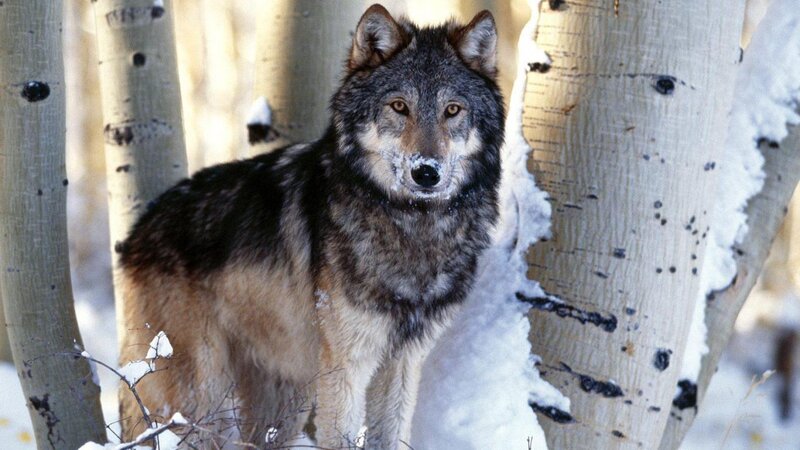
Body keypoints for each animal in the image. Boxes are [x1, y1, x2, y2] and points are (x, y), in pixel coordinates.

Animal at [117, 4, 504, 448]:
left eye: (452, 110)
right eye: (399, 106)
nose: (427, 172)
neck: (413, 226)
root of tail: (134, 235)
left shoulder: (403, 364)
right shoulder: (345, 367)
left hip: (285, 398)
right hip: (199, 398)